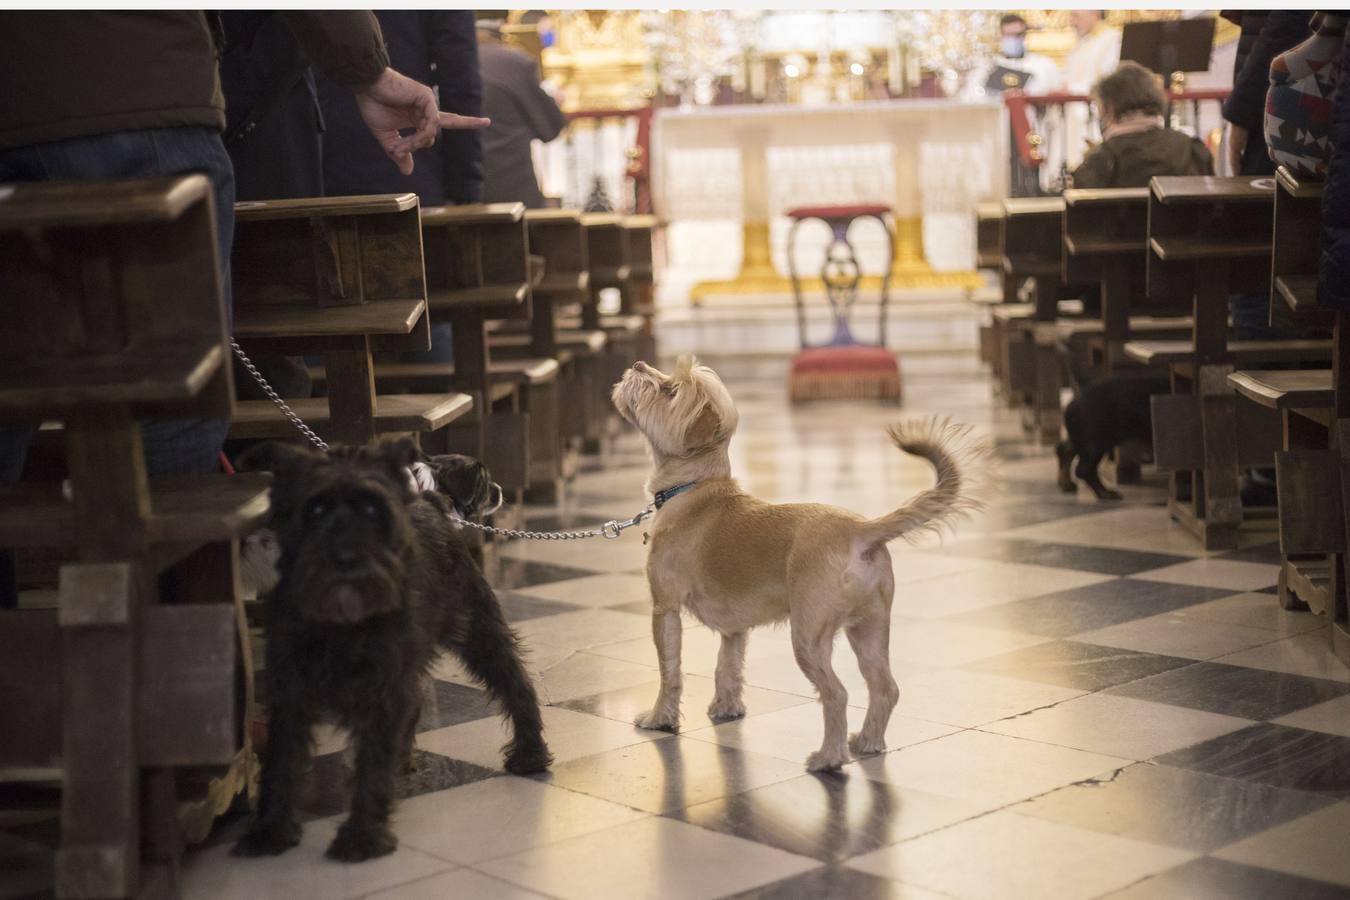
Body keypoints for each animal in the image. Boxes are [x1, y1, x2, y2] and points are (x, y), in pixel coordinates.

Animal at [232, 439, 548, 863]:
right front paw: (269, 831)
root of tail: (429, 503)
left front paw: (362, 836)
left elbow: (374, 755)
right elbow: (281, 761)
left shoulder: (383, 685)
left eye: (371, 509)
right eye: (314, 509)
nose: (499, 490)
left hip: (478, 630)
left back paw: (530, 755)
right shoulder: (292, 690)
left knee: (515, 684)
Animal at [618, 356, 988, 771]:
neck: (694, 490)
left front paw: (659, 718)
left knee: (837, 694)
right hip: (870, 628)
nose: (638, 364)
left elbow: (670, 670)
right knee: (885, 688)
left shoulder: (664, 609)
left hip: (809, 637)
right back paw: (868, 741)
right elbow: (727, 665)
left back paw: (829, 757)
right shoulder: (735, 629)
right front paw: (726, 707)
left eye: (669, 390)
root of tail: (862, 530)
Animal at [1053, 369, 1171, 504]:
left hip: (1088, 438)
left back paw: (1066, 484)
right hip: (1097, 441)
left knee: (1064, 450)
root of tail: (1073, 403)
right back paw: (1105, 493)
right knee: (1083, 469)